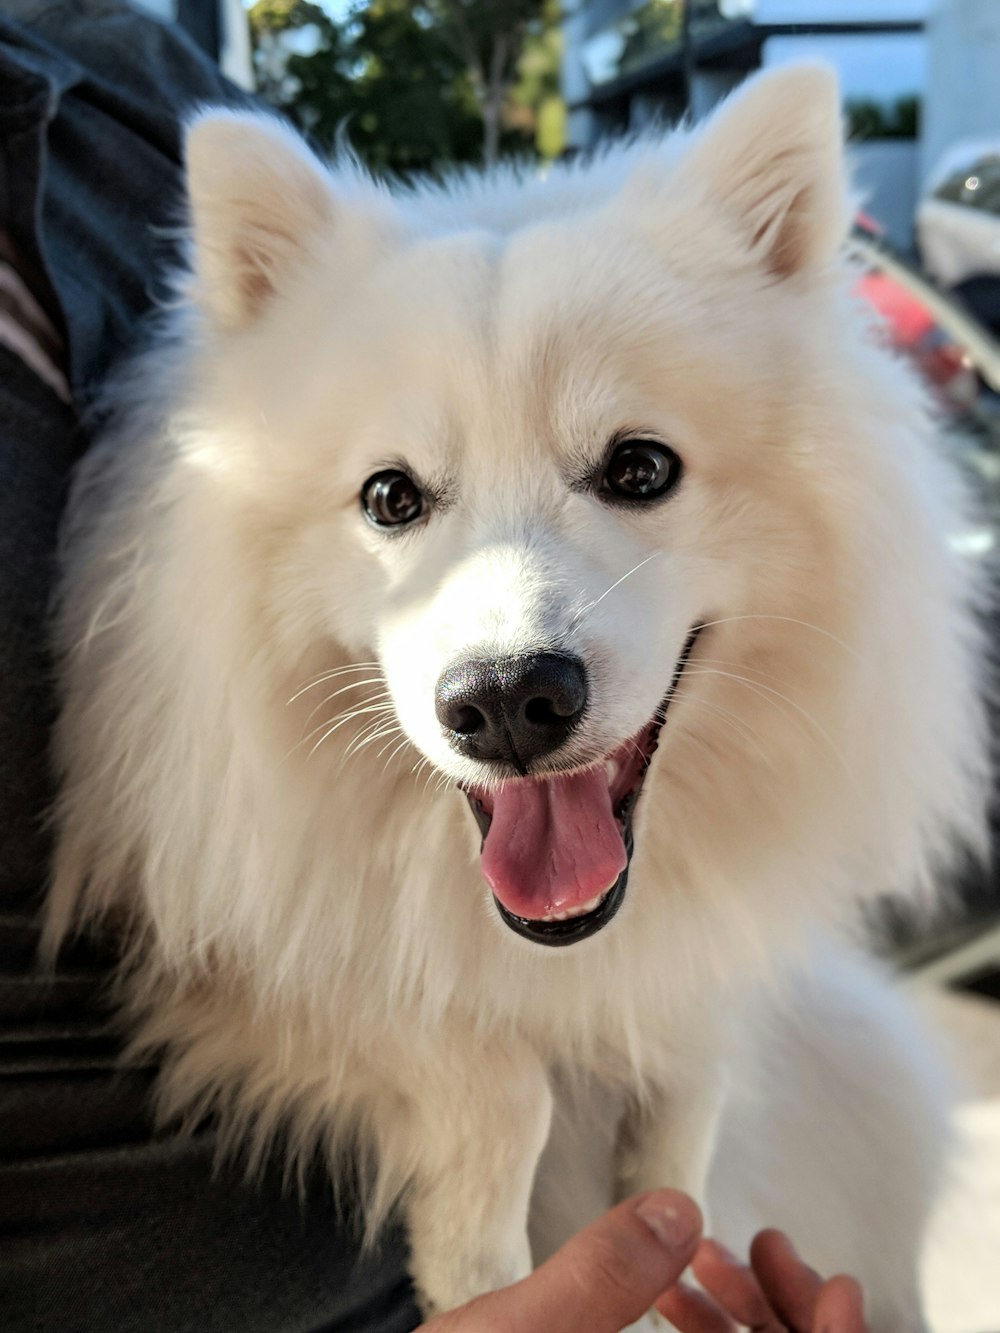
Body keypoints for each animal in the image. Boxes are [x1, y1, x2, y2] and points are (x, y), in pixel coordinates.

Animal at [45, 64, 986, 1333]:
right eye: (389, 497)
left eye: (640, 469)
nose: (503, 700)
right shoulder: (246, 950)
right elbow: (494, 1082)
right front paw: (484, 1266)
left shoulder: (703, 955)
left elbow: (684, 1084)